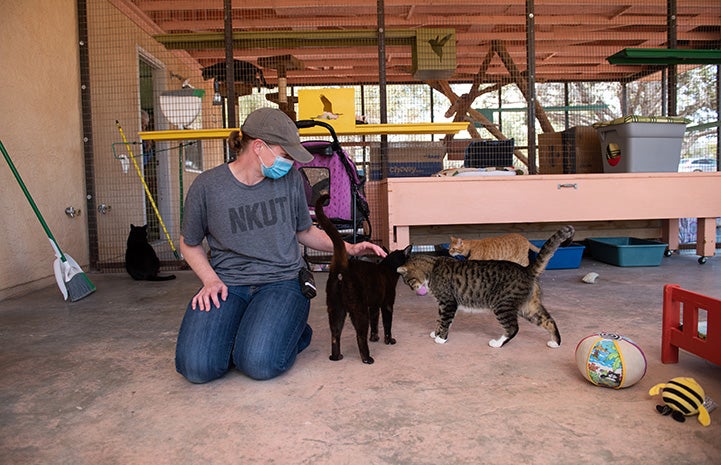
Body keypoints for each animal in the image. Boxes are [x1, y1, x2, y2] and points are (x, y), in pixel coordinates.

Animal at [316, 194, 410, 364]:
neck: (387, 269)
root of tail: (342, 268)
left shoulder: (373, 305)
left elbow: (375, 322)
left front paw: (375, 337)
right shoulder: (386, 304)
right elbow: (387, 324)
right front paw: (389, 340)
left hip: (336, 309)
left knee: (335, 334)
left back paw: (336, 357)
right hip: (358, 310)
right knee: (360, 336)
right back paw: (367, 358)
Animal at [394, 225, 572, 348]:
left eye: (408, 282)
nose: (412, 290)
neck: (433, 267)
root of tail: (526, 269)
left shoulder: (448, 302)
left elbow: (445, 321)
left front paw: (441, 338)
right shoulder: (442, 304)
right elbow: (439, 319)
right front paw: (436, 332)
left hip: (502, 305)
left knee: (513, 328)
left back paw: (497, 343)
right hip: (529, 307)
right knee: (548, 321)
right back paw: (556, 343)